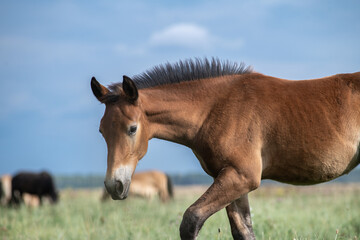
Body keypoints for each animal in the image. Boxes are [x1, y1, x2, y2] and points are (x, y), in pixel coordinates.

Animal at [90, 58, 360, 240]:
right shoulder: (230, 178)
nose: (115, 186)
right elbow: (243, 231)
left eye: (132, 128)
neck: (215, 108)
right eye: (101, 131)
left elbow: (191, 220)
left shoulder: (243, 176)